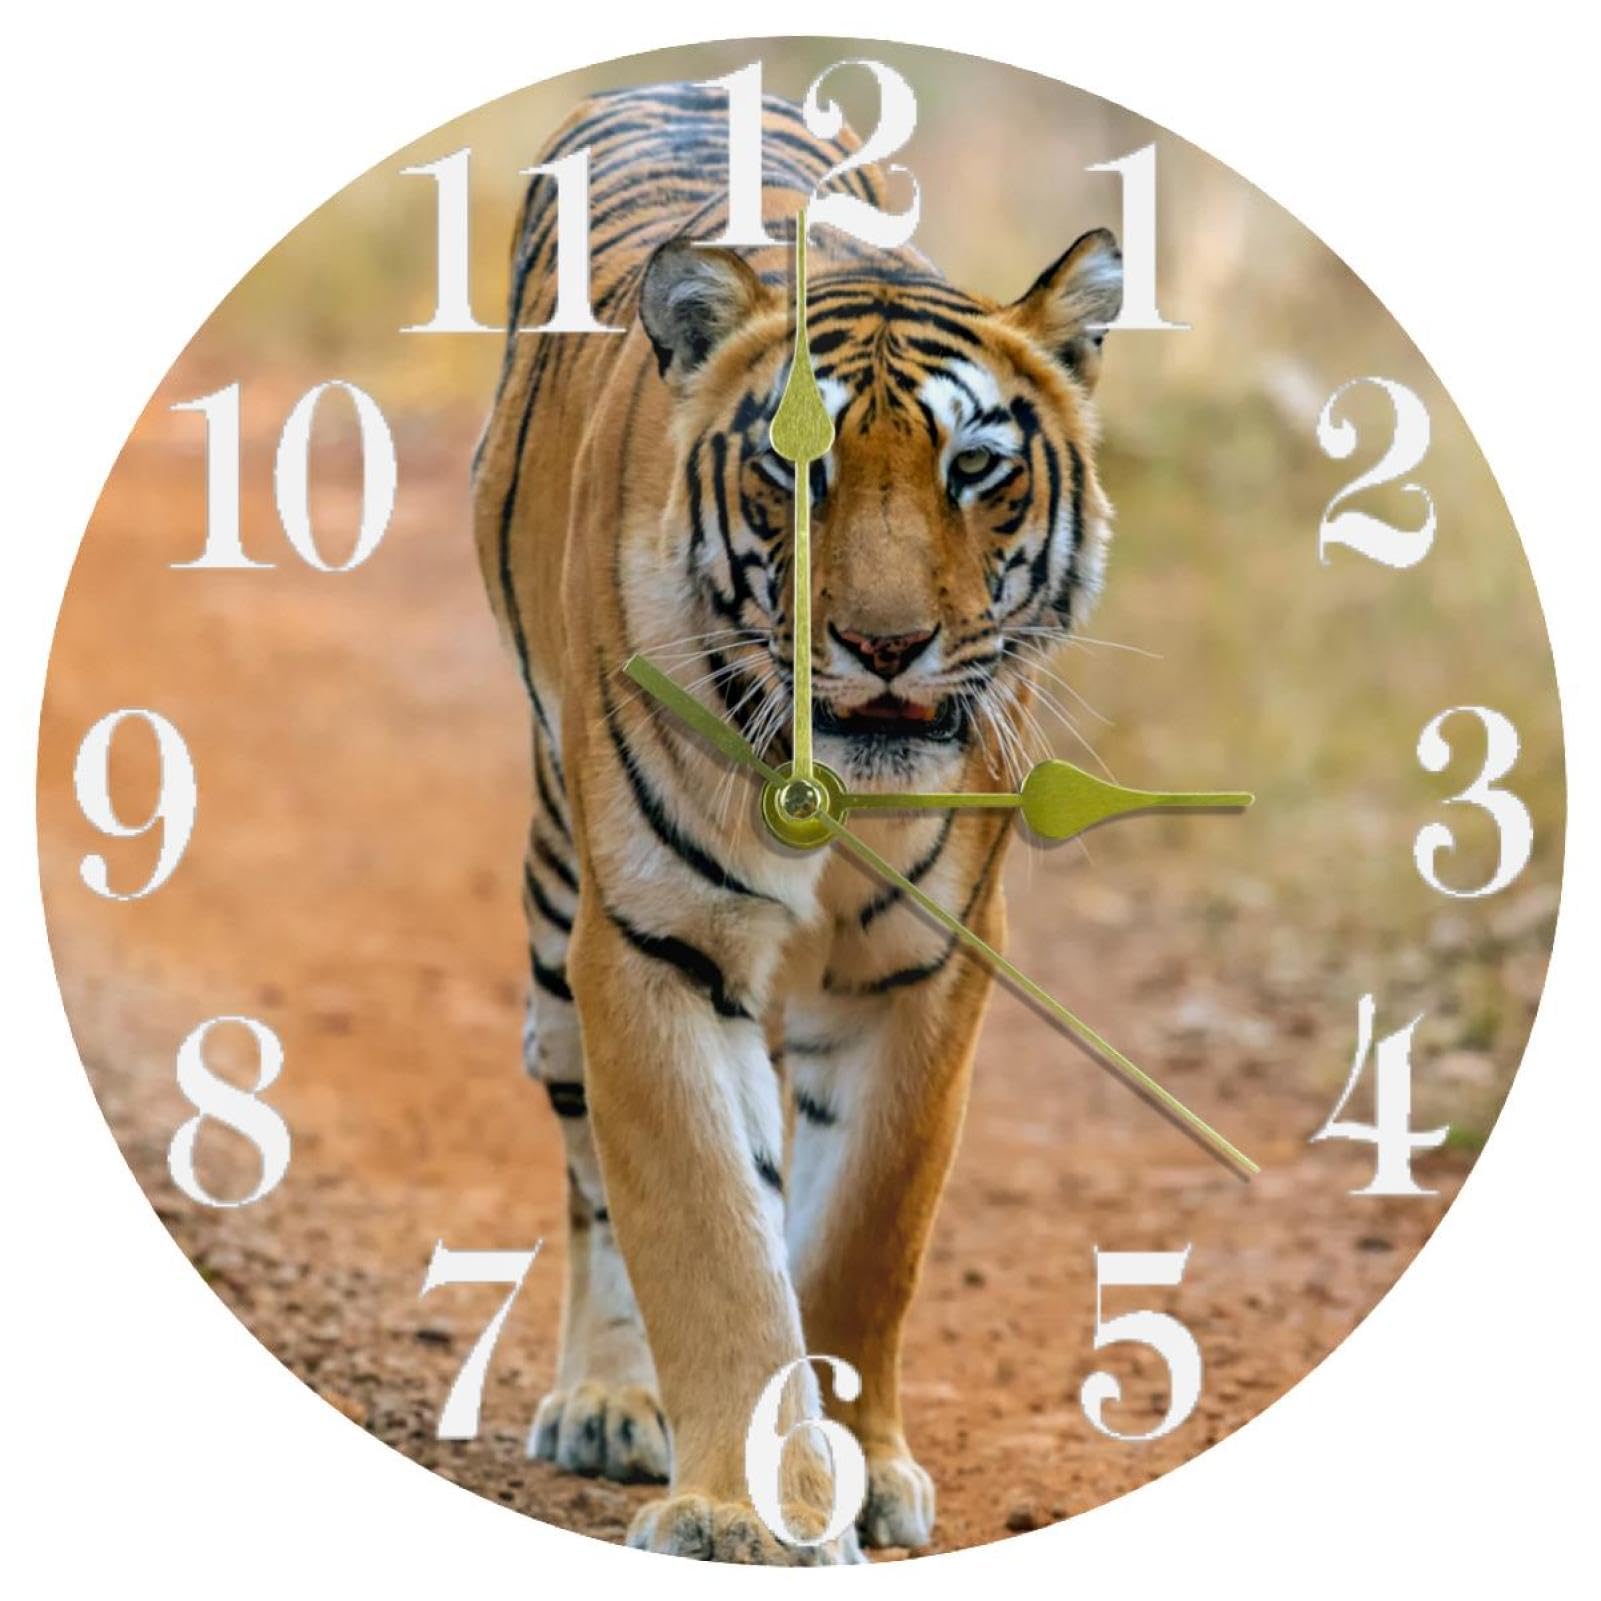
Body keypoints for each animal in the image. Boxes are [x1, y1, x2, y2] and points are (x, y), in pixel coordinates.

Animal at [470, 79, 1123, 1563]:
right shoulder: (653, 944)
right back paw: (608, 1398)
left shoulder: (924, 964)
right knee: (588, 1158)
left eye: (976, 467)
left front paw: (861, 1469)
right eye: (792, 472)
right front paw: (746, 1510)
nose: (882, 645)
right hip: (556, 902)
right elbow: (706, 1230)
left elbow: (865, 1230)